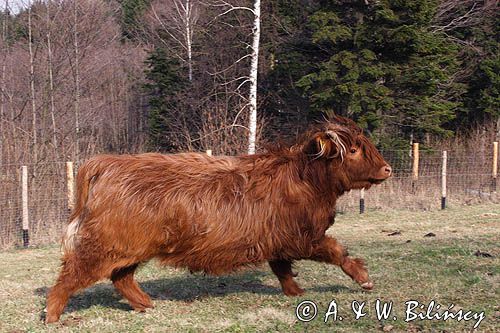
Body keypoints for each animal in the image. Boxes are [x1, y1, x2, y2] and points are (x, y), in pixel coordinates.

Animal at [45, 116, 392, 322]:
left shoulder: (277, 239)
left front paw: (296, 292)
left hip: (129, 247)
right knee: (71, 275)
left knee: (121, 277)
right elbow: (336, 251)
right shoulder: (302, 236)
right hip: (106, 245)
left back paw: (146, 304)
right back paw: (52, 315)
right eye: (354, 151)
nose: (387, 168)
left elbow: (282, 269)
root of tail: (106, 164)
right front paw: (364, 279)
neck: (306, 180)